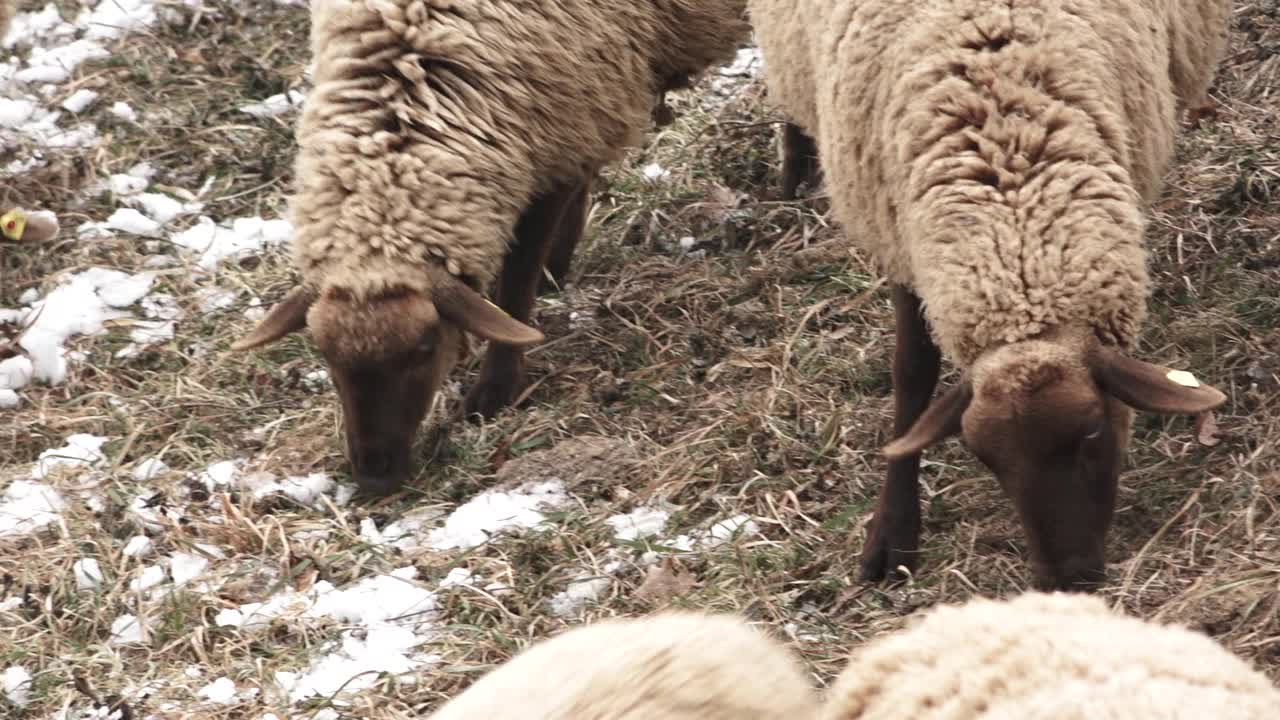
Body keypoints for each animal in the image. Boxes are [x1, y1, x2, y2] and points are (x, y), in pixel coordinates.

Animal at [230, 0, 747, 491]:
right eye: (326, 356)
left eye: (425, 349)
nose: (375, 479)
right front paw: (551, 274)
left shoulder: (560, 132)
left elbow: (518, 281)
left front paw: (495, 392)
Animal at [747, 0, 1228, 589]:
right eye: (985, 458)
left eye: (1093, 433)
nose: (1066, 580)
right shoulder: (898, 234)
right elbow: (911, 373)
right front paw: (892, 532)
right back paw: (795, 165)